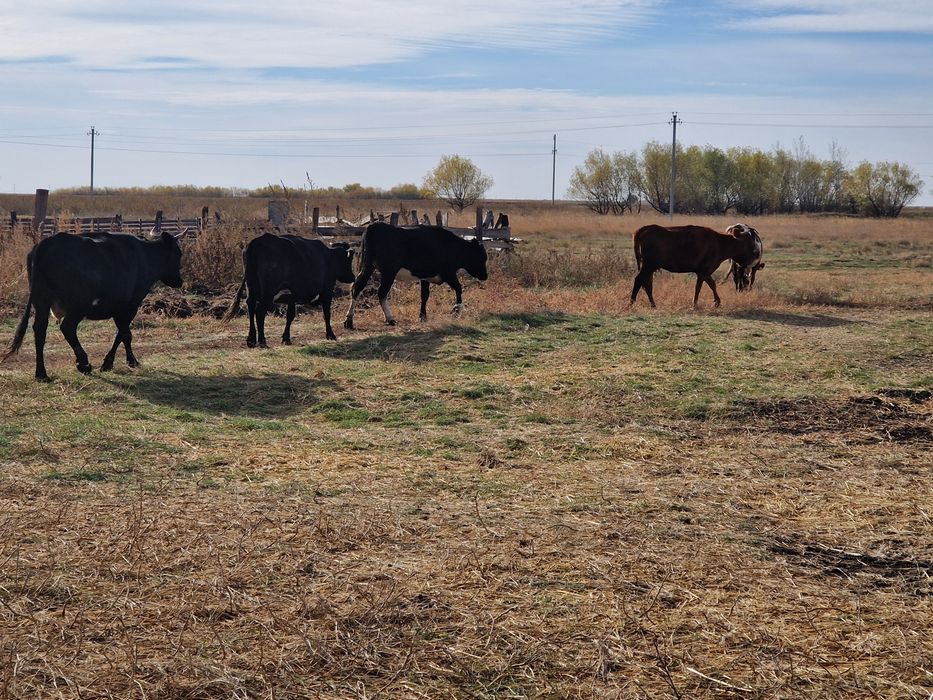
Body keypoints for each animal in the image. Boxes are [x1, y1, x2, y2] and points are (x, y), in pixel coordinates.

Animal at [2, 230, 184, 381]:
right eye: (178, 254)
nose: (180, 281)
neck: (146, 255)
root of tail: (46, 244)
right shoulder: (131, 304)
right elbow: (124, 333)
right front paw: (116, 362)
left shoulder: (119, 307)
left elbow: (123, 333)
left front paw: (124, 361)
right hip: (78, 305)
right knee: (67, 328)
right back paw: (83, 363)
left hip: (42, 300)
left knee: (40, 330)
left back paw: (41, 373)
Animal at [224, 233, 355, 347]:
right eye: (349, 260)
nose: (352, 277)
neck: (330, 257)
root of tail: (257, 242)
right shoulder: (327, 290)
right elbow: (326, 314)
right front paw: (330, 335)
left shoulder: (293, 297)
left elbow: (290, 316)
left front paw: (286, 338)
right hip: (267, 292)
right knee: (260, 311)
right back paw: (262, 341)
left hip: (251, 287)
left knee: (251, 308)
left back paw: (251, 340)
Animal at [343, 222, 488, 329]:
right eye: (482, 258)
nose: (485, 276)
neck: (452, 246)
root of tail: (374, 226)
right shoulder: (448, 273)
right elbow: (458, 288)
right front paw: (457, 310)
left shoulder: (425, 276)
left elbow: (424, 295)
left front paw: (422, 316)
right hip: (389, 272)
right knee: (382, 292)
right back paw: (390, 318)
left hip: (367, 267)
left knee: (357, 287)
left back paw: (349, 321)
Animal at [630, 223, 763, 307]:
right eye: (750, 243)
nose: (757, 253)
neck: (720, 243)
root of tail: (646, 228)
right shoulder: (704, 271)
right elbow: (699, 287)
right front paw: (695, 303)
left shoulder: (704, 272)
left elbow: (712, 284)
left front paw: (717, 301)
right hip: (648, 266)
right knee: (639, 280)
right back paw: (632, 302)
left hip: (650, 268)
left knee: (647, 283)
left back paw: (652, 304)